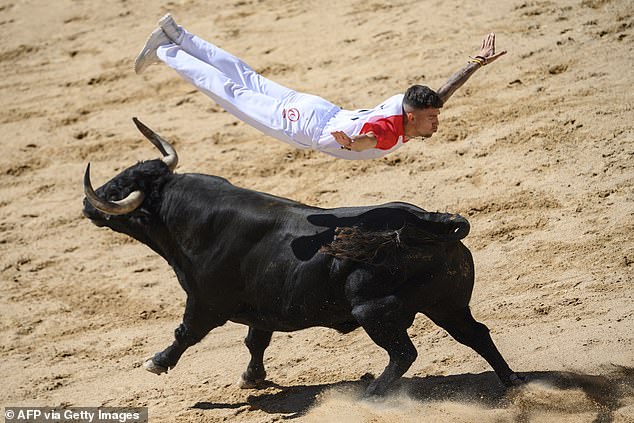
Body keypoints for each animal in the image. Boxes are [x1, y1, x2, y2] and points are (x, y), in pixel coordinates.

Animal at [82, 119, 520, 398]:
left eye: (119, 189)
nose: (88, 204)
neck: (185, 218)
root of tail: (434, 222)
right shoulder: (261, 306)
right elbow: (255, 340)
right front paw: (252, 377)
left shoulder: (205, 302)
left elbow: (185, 333)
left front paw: (156, 362)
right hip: (447, 304)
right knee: (476, 334)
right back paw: (513, 382)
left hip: (374, 311)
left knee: (404, 354)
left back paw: (372, 394)